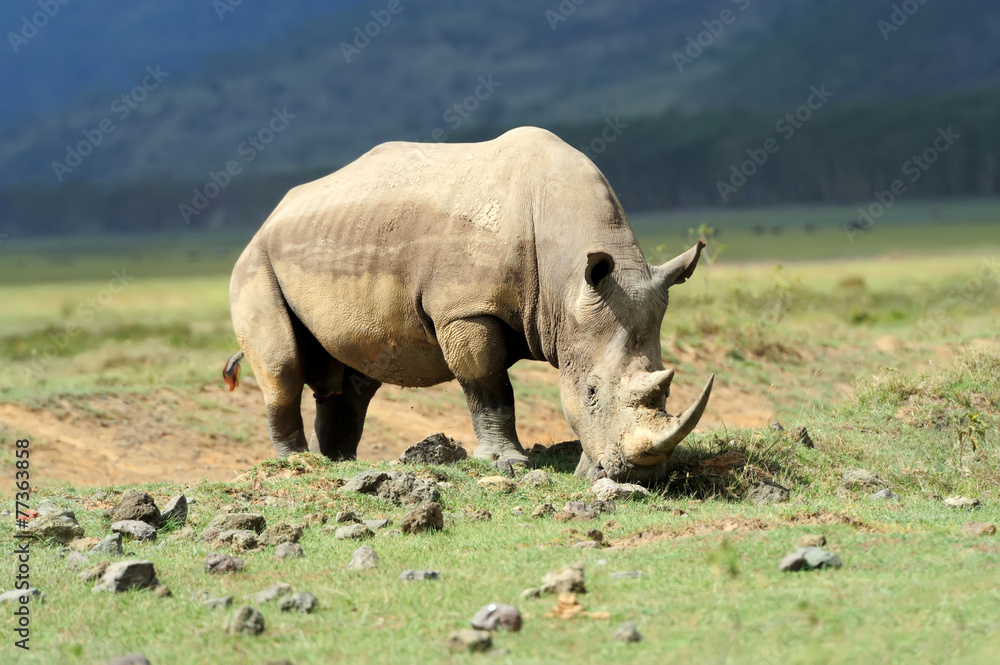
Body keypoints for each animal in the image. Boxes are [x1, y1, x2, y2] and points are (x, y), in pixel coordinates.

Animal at [224, 126, 713, 482]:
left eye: (668, 389)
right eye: (590, 392)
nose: (638, 474)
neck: (568, 280)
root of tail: (271, 216)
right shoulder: (465, 308)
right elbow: (488, 385)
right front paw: (507, 463)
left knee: (352, 379)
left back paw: (343, 464)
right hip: (254, 262)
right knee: (283, 365)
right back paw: (299, 466)